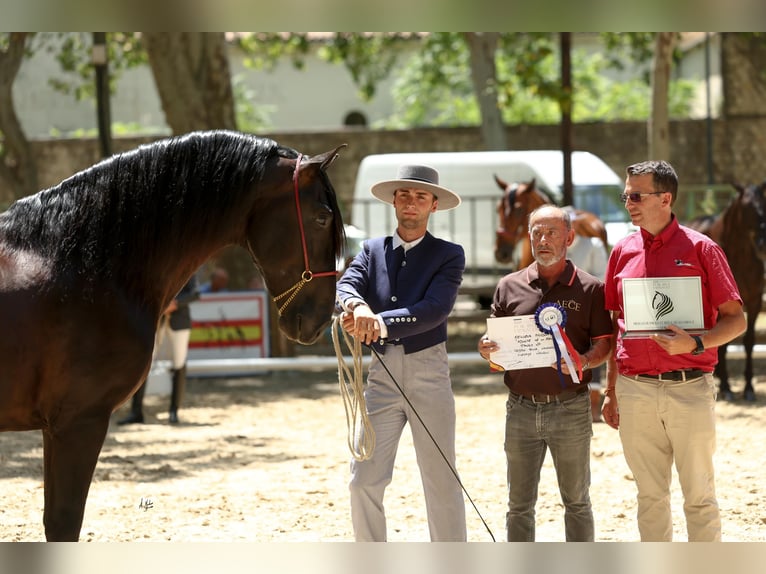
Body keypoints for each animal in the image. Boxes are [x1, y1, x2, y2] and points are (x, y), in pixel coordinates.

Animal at [0, 130, 346, 541]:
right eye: (322, 217)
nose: (321, 318)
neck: (81, 262)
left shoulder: (58, 428)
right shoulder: (77, 422)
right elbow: (63, 521)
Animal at [687, 180, 766, 402]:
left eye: (764, 204)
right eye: (747, 207)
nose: (762, 244)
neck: (741, 254)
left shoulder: (754, 300)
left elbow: (749, 341)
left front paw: (748, 388)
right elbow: (722, 344)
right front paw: (727, 388)